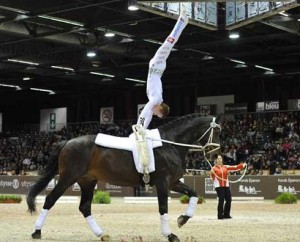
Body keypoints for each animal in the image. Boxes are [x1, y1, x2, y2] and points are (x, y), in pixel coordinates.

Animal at [27, 114, 220, 242]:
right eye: (217, 131)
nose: (215, 154)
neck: (169, 144)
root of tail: (67, 141)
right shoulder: (163, 182)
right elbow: (163, 207)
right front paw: (170, 234)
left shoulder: (173, 182)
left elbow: (193, 193)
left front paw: (182, 219)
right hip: (68, 178)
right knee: (50, 199)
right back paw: (36, 232)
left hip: (87, 181)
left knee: (84, 207)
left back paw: (101, 234)